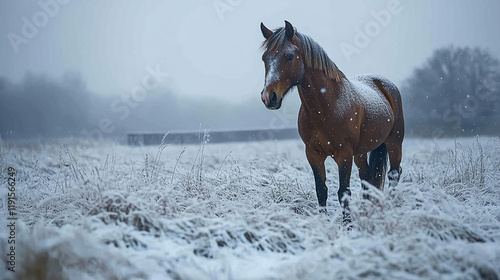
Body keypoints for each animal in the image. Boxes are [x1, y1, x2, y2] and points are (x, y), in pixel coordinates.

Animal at [260, 20, 404, 223]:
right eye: (265, 58)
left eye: (289, 56)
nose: (268, 97)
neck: (327, 106)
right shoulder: (313, 154)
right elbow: (321, 190)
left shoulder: (344, 154)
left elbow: (343, 192)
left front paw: (348, 224)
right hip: (361, 152)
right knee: (367, 177)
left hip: (394, 142)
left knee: (394, 173)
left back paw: (391, 207)